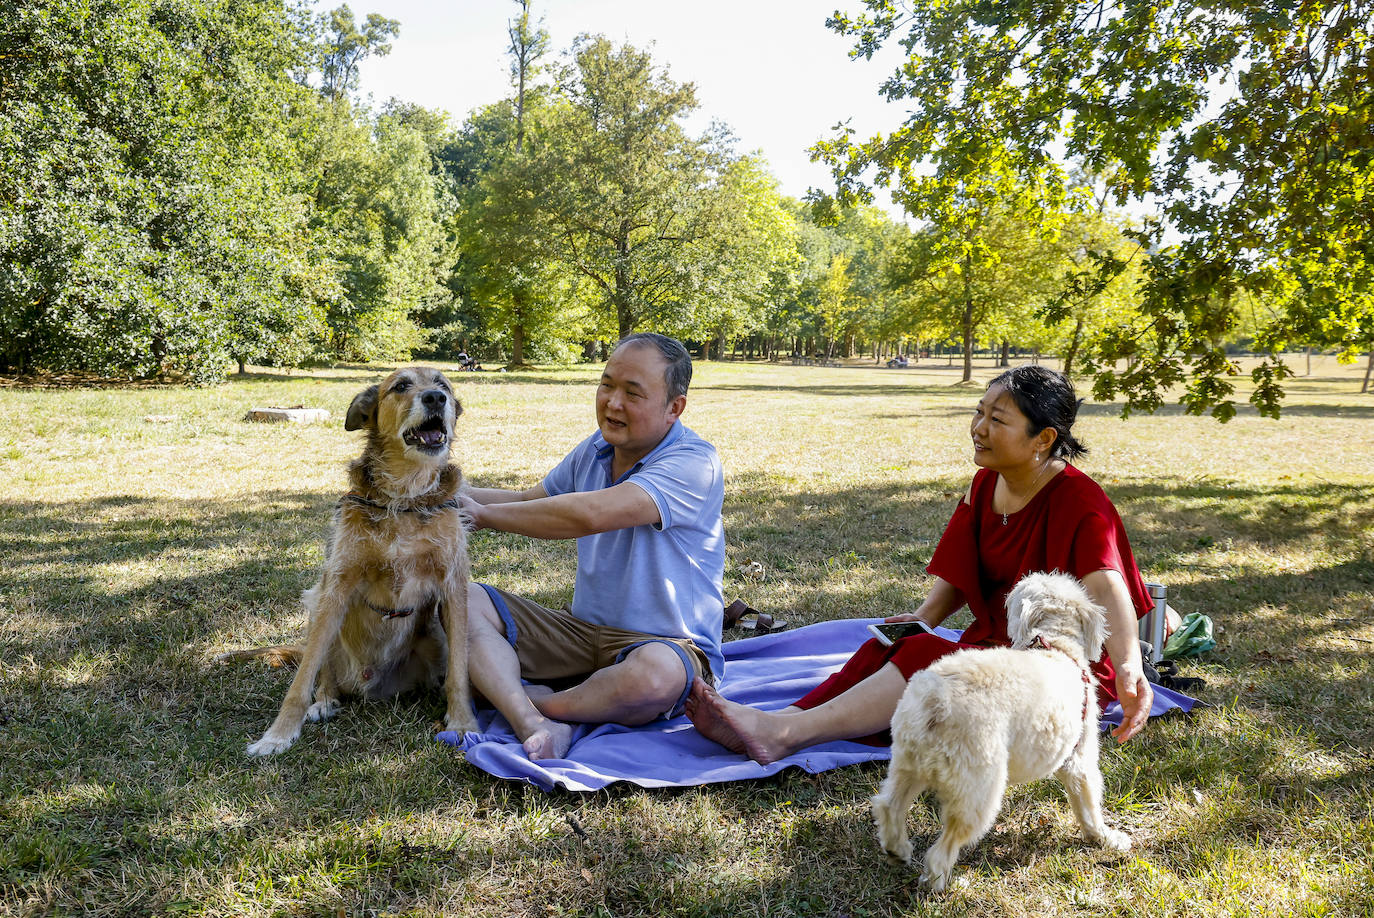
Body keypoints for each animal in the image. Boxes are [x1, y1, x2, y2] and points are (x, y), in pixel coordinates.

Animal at [222, 368, 480, 758]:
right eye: (401, 386)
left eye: (444, 385)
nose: (435, 398)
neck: (406, 495)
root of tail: (370, 685)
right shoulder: (336, 585)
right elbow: (301, 681)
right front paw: (278, 736)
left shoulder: (453, 587)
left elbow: (458, 674)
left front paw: (463, 723)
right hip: (317, 607)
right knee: (323, 673)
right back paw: (325, 701)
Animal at [873, 568, 1132, 890]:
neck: (1055, 646)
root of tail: (935, 701)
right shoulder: (1079, 761)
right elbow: (1089, 806)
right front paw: (1105, 837)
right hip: (979, 788)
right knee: (942, 848)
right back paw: (944, 883)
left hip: (908, 765)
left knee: (888, 806)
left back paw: (897, 850)